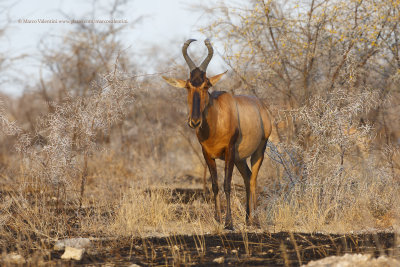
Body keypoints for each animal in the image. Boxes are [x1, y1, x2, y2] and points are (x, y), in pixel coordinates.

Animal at [162, 39, 272, 230]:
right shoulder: (207, 154)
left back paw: (256, 221)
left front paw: (229, 223)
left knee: (253, 179)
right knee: (247, 177)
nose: (194, 121)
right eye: (188, 85)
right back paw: (247, 219)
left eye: (206, 84)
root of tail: (262, 107)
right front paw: (218, 219)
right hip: (239, 158)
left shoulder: (229, 151)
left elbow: (227, 184)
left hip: (259, 150)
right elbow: (214, 185)